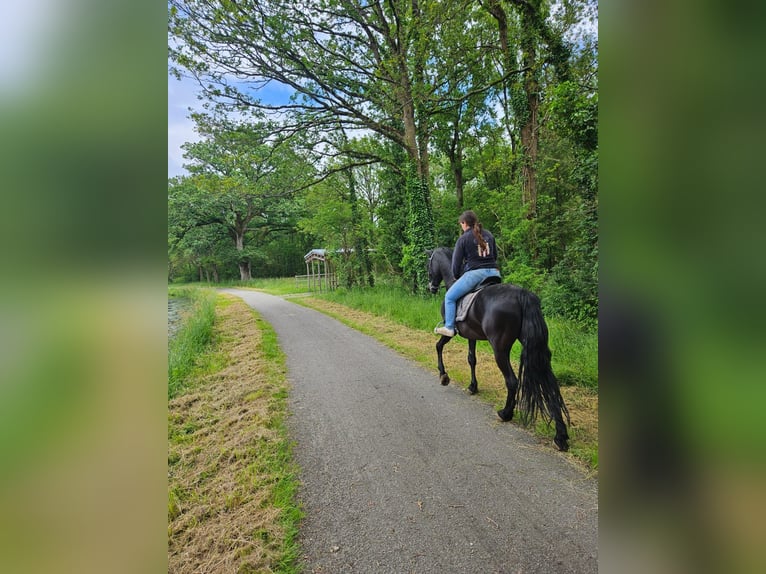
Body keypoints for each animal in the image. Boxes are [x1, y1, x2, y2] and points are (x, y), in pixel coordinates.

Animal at [428, 250, 572, 452]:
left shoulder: (452, 332)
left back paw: (505, 413)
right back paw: (560, 436)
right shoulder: (472, 335)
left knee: (512, 381)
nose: (431, 287)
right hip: (538, 349)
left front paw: (443, 375)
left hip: (500, 349)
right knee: (549, 383)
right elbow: (471, 359)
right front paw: (473, 386)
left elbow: (439, 346)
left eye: (429, 264)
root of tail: (522, 294)